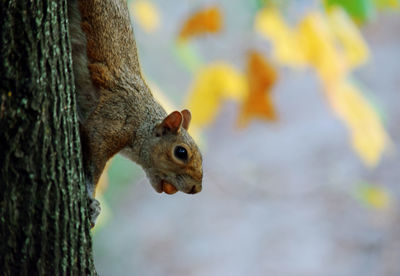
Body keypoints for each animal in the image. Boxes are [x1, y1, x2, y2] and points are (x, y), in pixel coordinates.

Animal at [68, 0, 203, 225]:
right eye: (181, 152)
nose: (196, 189)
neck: (141, 119)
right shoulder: (110, 121)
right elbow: (93, 164)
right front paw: (92, 202)